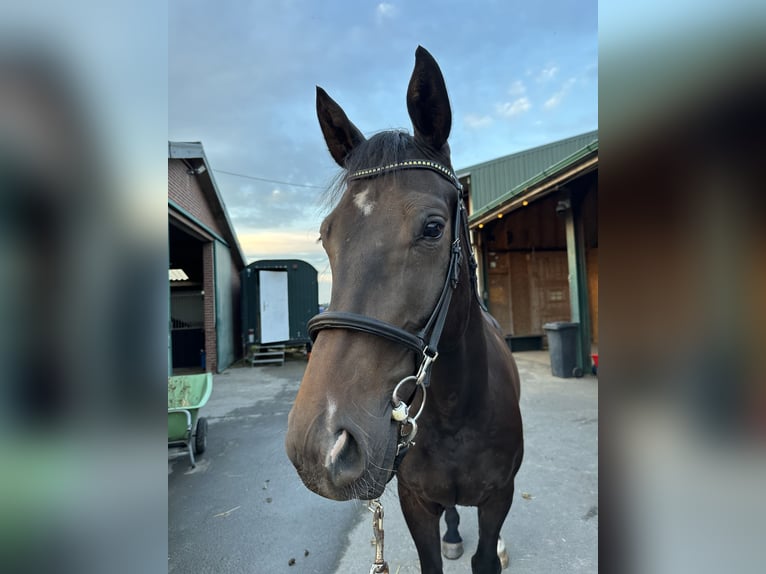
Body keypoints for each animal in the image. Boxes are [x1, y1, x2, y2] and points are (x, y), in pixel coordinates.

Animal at [288, 46, 528, 574]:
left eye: (433, 228)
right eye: (327, 235)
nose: (321, 448)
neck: (457, 412)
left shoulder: (499, 498)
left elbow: (486, 554)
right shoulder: (415, 503)